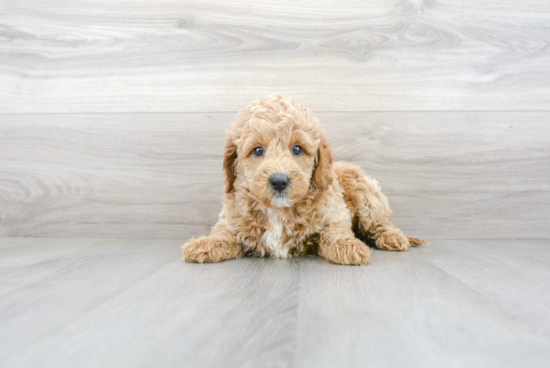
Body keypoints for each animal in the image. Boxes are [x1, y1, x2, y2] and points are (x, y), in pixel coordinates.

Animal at [183, 95, 430, 264]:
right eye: (258, 150)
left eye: (297, 149)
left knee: (382, 223)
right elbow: (222, 232)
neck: (278, 211)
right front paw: (205, 244)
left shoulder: (335, 212)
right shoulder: (231, 218)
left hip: (366, 196)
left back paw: (393, 238)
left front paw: (348, 245)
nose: (279, 181)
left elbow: (335, 231)